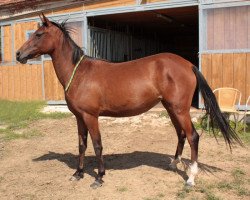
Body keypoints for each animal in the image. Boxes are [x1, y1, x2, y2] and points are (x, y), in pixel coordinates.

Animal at [16, 13, 242, 188]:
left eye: (38, 34)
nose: (19, 54)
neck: (79, 73)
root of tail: (188, 64)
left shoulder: (91, 116)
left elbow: (97, 145)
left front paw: (99, 177)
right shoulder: (79, 117)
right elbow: (81, 145)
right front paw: (77, 174)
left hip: (180, 109)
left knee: (193, 136)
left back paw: (191, 178)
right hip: (171, 108)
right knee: (181, 134)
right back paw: (173, 164)